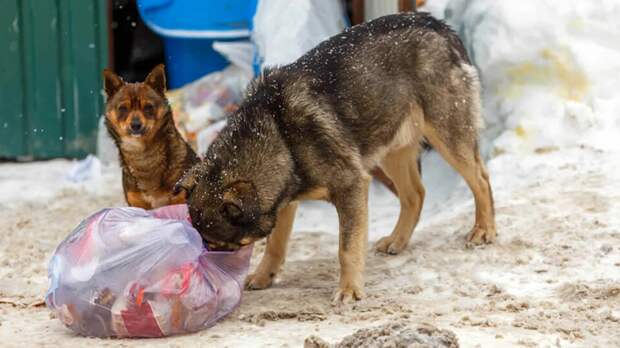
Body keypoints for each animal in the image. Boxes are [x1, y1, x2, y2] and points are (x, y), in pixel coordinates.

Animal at [103, 64, 197, 209]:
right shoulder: (137, 204)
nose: (135, 125)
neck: (142, 155)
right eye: (123, 108)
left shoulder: (179, 199)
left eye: (148, 107)